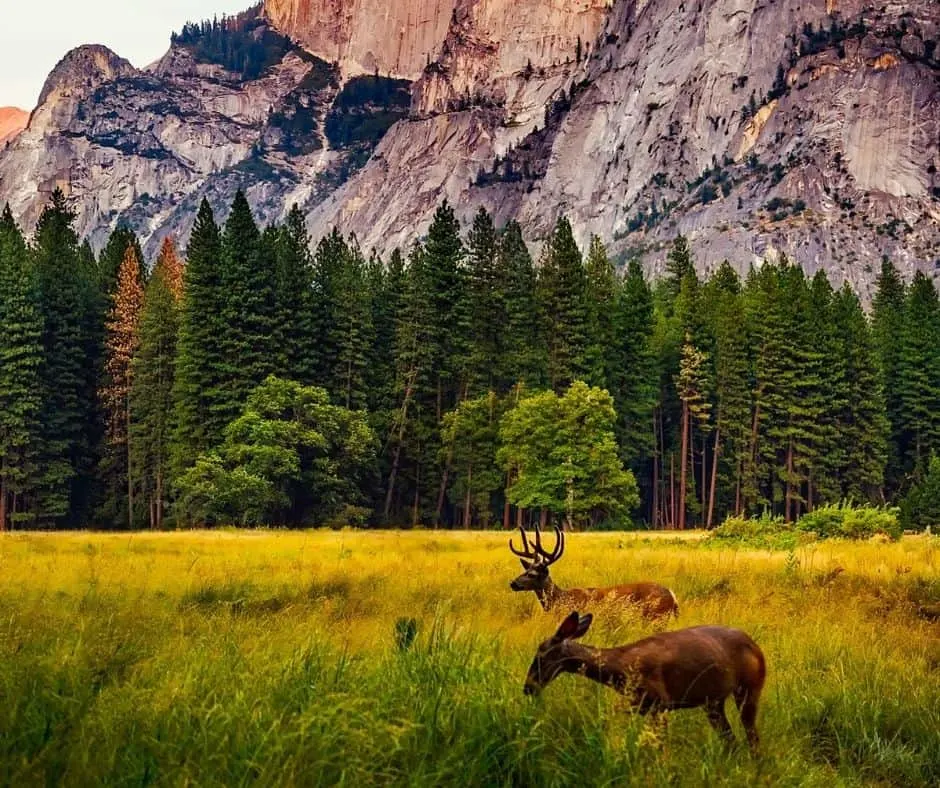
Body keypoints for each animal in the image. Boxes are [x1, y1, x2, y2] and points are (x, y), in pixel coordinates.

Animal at [510, 524, 680, 620]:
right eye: (526, 569)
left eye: (532, 574)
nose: (513, 583)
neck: (560, 600)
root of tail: (673, 596)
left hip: (657, 617)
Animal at [520, 608, 764, 752]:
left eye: (541, 654)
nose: (528, 688)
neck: (620, 669)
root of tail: (756, 646)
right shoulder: (637, 705)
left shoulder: (660, 703)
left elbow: (660, 748)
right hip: (713, 702)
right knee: (730, 739)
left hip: (750, 688)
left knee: (752, 737)